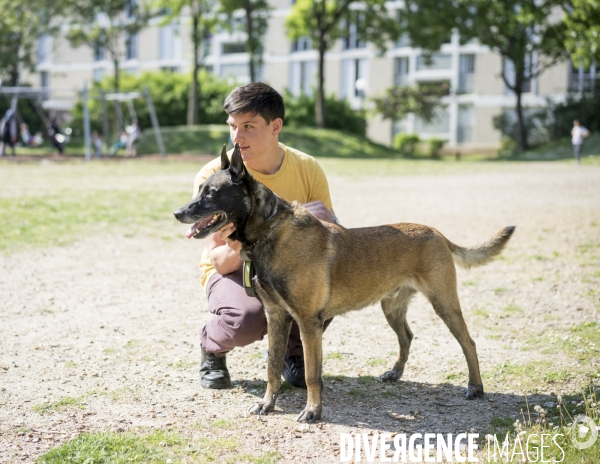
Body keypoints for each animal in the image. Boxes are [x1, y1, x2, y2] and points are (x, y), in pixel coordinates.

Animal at [173, 146, 516, 424]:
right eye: (199, 190)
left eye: (210, 193)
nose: (177, 212)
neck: (271, 232)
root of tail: (436, 232)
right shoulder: (277, 318)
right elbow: (272, 368)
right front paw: (267, 405)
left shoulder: (308, 323)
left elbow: (313, 374)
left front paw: (312, 411)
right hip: (391, 307)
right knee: (407, 337)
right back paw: (396, 373)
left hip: (444, 304)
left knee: (468, 342)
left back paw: (475, 387)